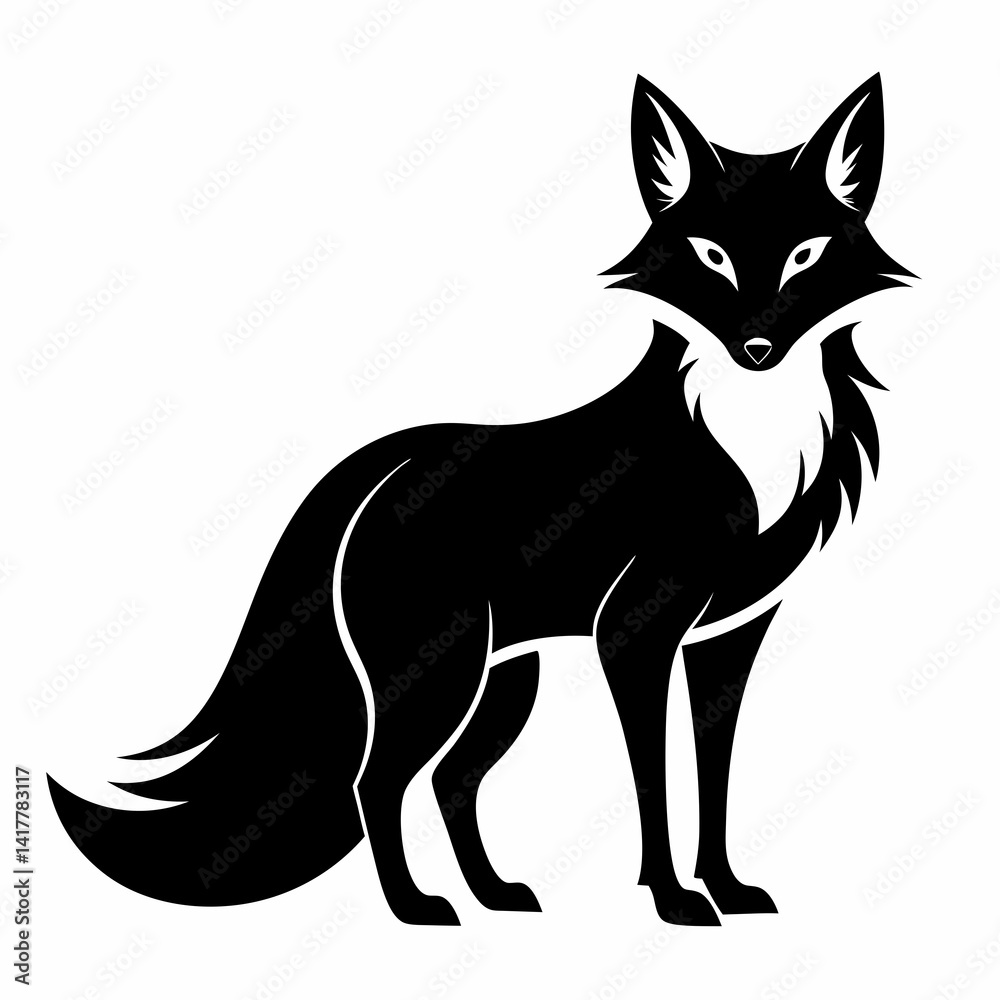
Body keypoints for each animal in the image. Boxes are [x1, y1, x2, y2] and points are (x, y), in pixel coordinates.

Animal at [48, 73, 913, 927]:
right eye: (711, 255)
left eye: (805, 254)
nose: (757, 348)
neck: (753, 436)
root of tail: (385, 463)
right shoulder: (635, 635)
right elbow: (654, 780)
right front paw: (674, 900)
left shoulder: (730, 637)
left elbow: (714, 775)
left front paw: (727, 889)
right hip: (443, 674)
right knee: (377, 780)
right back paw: (416, 908)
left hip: (501, 683)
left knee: (450, 779)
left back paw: (494, 895)